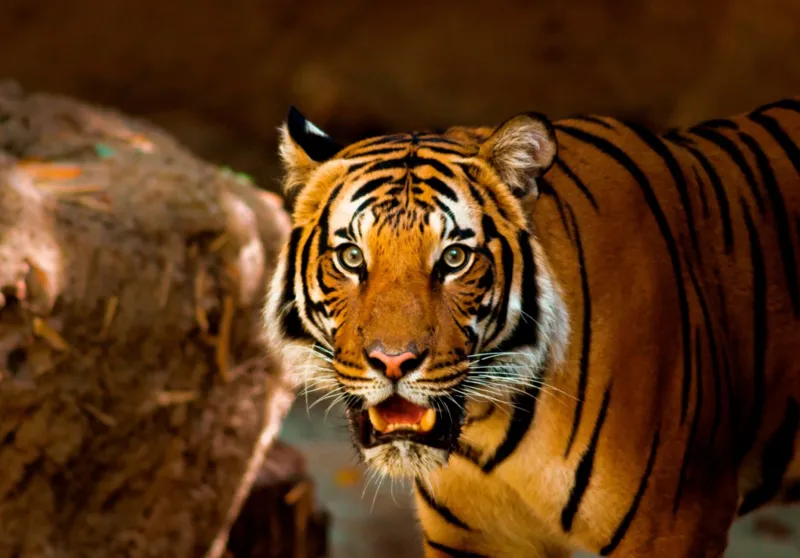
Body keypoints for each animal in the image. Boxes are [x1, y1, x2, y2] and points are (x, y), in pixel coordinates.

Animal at [263, 97, 800, 557]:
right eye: (352, 257)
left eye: (454, 258)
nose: (393, 362)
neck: (489, 429)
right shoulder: (474, 539)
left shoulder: (675, 527)